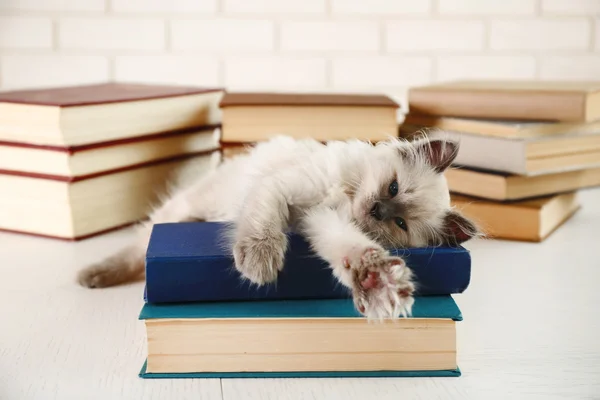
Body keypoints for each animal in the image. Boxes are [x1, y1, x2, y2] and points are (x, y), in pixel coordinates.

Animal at [77, 136, 478, 320]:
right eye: (393, 188)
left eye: (399, 222)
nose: (376, 209)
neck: (342, 199)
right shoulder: (283, 190)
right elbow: (264, 227)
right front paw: (259, 263)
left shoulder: (323, 222)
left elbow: (351, 249)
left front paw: (376, 281)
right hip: (183, 209)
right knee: (137, 247)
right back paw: (93, 275)